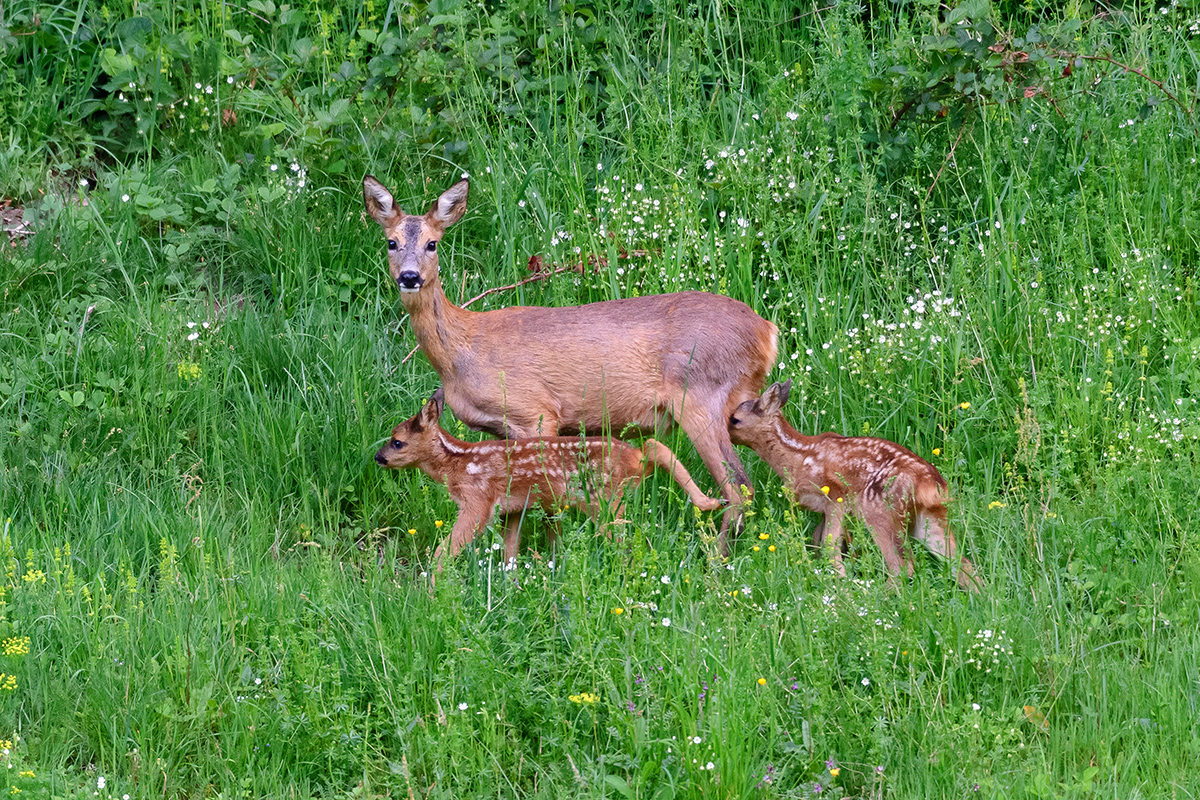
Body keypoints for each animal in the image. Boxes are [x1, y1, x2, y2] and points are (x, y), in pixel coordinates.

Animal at [376, 388, 720, 568]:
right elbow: (510, 551)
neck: (459, 464)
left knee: (626, 539)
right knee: (655, 447)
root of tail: (633, 459)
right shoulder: (513, 507)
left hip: (605, 499)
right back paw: (711, 502)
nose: (379, 457)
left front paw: (432, 587)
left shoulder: (478, 501)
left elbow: (445, 550)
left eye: (397, 441)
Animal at [724, 381, 979, 594]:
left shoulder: (835, 496)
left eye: (734, 419)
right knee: (962, 563)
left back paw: (875, 596)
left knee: (902, 565)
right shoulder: (823, 509)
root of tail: (930, 485)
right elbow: (818, 543)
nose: (724, 433)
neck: (797, 458)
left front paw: (842, 586)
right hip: (929, 517)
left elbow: (830, 548)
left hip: (879, 511)